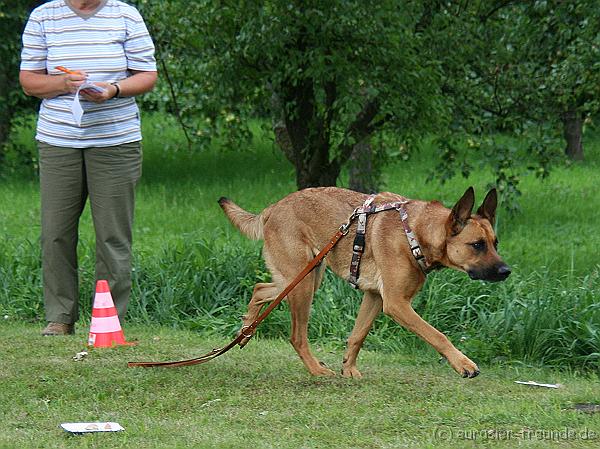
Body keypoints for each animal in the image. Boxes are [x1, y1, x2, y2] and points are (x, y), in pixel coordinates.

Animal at [218, 186, 508, 378]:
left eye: (495, 243)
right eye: (477, 245)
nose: (506, 271)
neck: (415, 233)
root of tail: (272, 208)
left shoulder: (375, 297)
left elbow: (357, 336)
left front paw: (348, 369)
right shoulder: (396, 303)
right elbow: (437, 335)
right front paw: (464, 364)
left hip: (303, 278)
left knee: (259, 289)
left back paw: (246, 328)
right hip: (302, 285)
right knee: (297, 336)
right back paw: (315, 370)